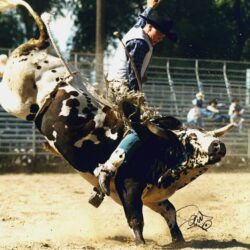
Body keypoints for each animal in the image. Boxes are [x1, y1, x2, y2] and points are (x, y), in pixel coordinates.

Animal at [0, 0, 234, 246]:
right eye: (191, 138)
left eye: (209, 134)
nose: (218, 145)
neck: (159, 148)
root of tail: (38, 50)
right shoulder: (129, 188)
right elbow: (136, 220)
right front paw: (141, 244)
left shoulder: (154, 197)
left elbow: (171, 212)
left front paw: (179, 239)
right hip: (14, 99)